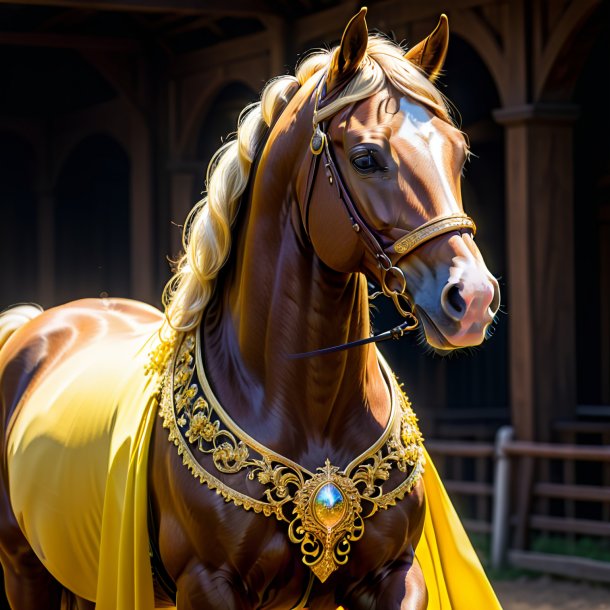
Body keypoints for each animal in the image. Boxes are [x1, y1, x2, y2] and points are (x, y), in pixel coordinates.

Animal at [0, 9, 498, 608]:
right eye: (366, 157)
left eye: (458, 152)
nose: (472, 298)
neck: (305, 408)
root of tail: (35, 325)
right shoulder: (208, 583)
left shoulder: (393, 573)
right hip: (24, 569)